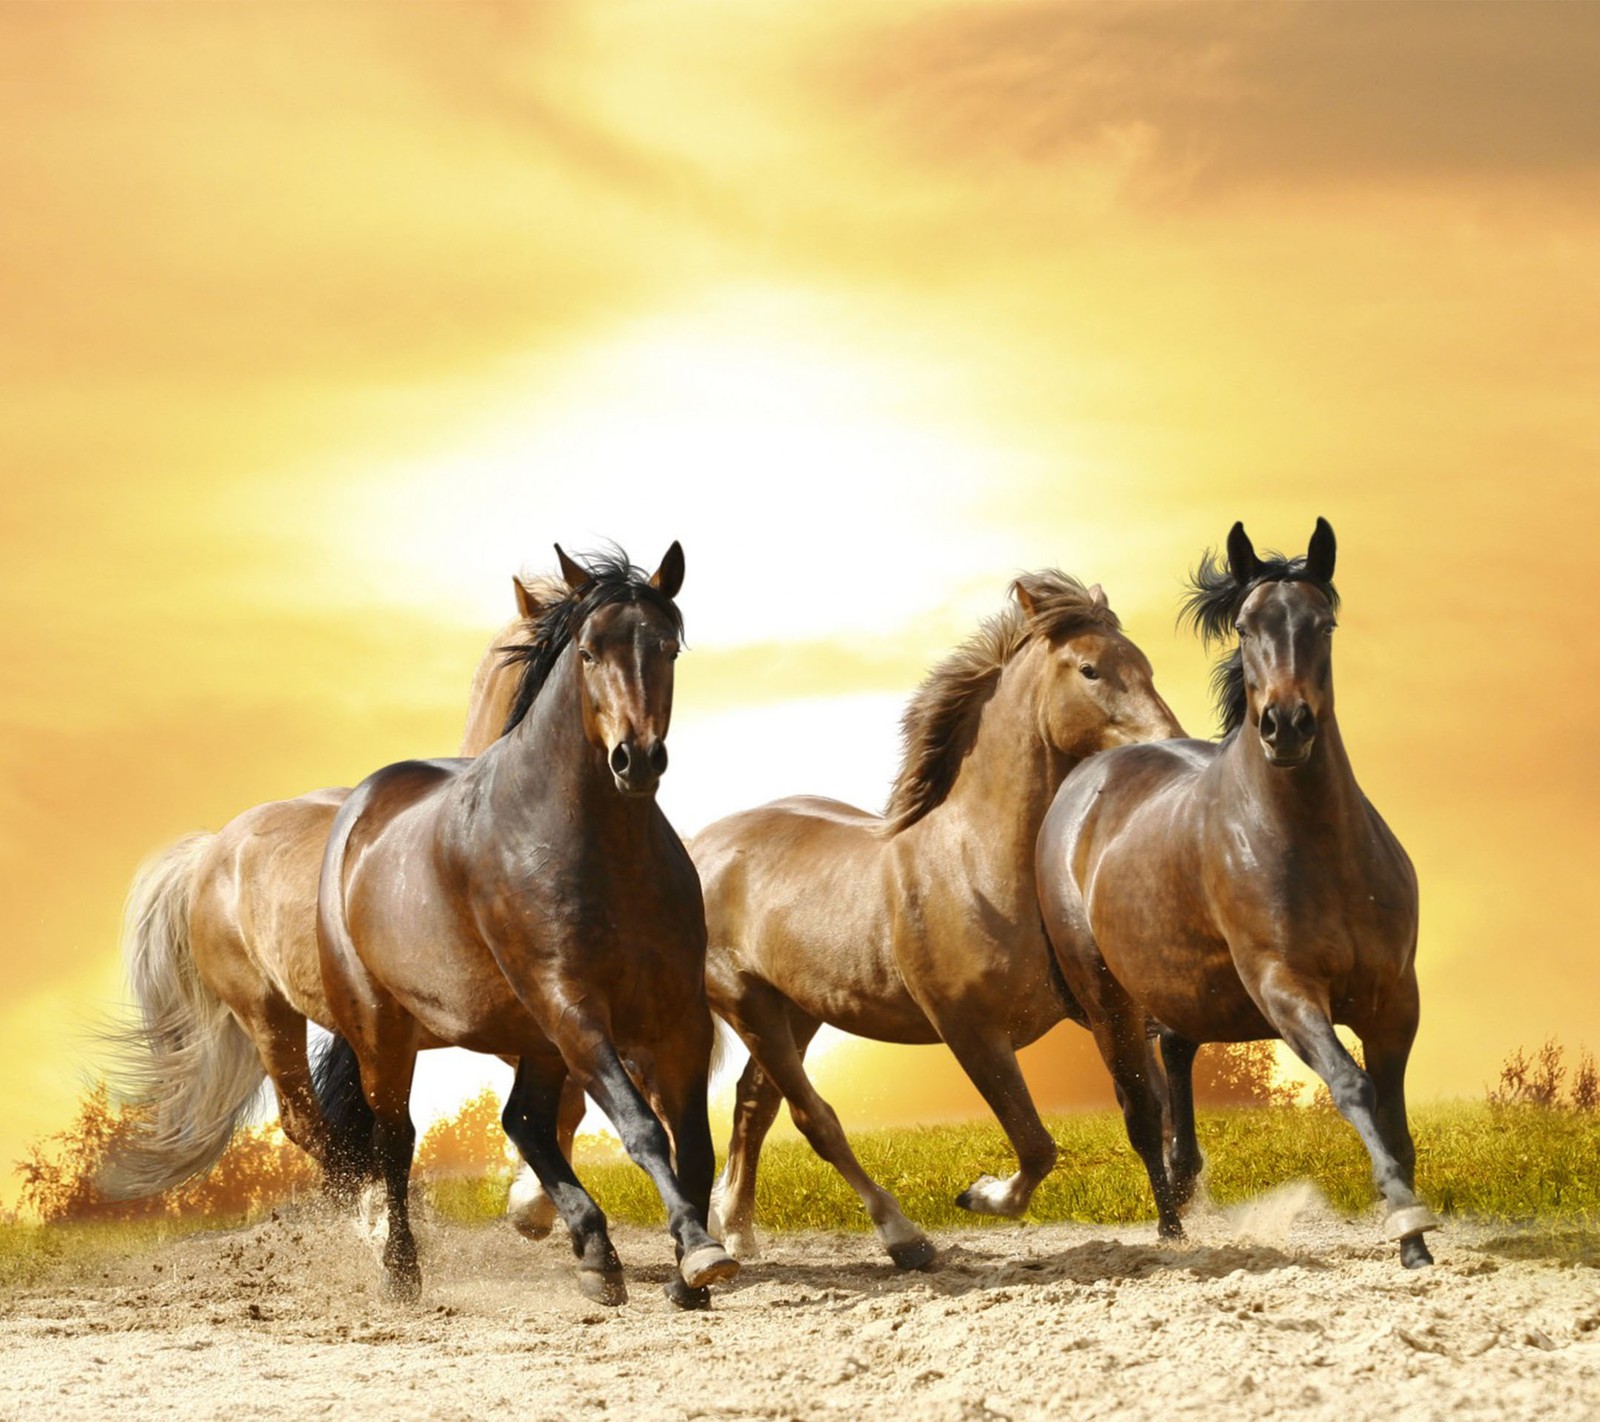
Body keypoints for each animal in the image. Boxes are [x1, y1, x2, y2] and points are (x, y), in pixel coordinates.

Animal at [310, 550, 736, 1305]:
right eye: (590, 651)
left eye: (666, 647)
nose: (636, 760)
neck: (601, 849)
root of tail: (358, 812)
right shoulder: (573, 1005)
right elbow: (642, 1129)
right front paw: (698, 1250)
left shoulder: (678, 1015)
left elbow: (692, 1140)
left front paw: (689, 1273)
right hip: (386, 1032)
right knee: (397, 1140)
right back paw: (402, 1273)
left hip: (533, 1034)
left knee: (524, 1121)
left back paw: (596, 1254)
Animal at [694, 572, 1184, 1273]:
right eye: (1090, 669)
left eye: (1144, 663)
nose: (1168, 743)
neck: (978, 864)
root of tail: (701, 846)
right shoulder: (969, 1031)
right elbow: (1036, 1145)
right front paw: (980, 1194)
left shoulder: (1108, 1010)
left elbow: (1147, 1115)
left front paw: (1178, 1228)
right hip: (748, 1004)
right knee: (814, 1118)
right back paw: (904, 1238)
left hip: (797, 1010)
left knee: (753, 1106)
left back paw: (736, 1230)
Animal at [1036, 518, 1440, 1266]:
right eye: (1248, 627)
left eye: (1324, 622)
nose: (1286, 725)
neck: (1317, 847)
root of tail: (1086, 780)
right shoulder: (1284, 986)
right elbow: (1352, 1086)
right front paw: (1406, 1220)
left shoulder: (1396, 997)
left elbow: (1395, 1118)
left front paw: (1415, 1237)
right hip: (1106, 998)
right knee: (1141, 1111)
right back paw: (1172, 1230)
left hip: (1185, 987)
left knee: (1176, 1058)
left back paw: (1185, 1184)